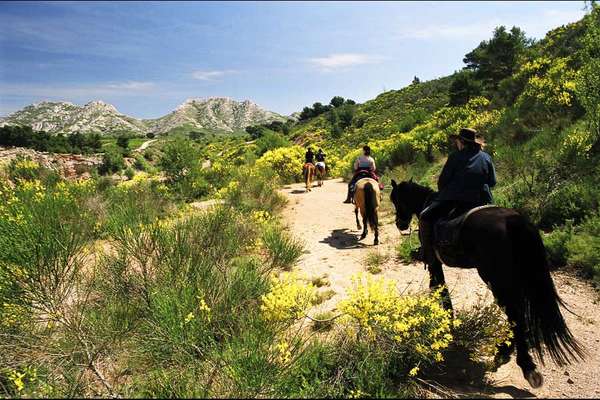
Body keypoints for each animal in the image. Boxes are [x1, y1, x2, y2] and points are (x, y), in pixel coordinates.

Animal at [386, 180, 584, 390]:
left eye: (396, 199)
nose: (400, 223)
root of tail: (514, 220)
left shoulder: (434, 263)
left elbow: (440, 290)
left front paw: (446, 321)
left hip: (496, 279)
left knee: (515, 314)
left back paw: (524, 364)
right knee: (518, 313)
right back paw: (504, 353)